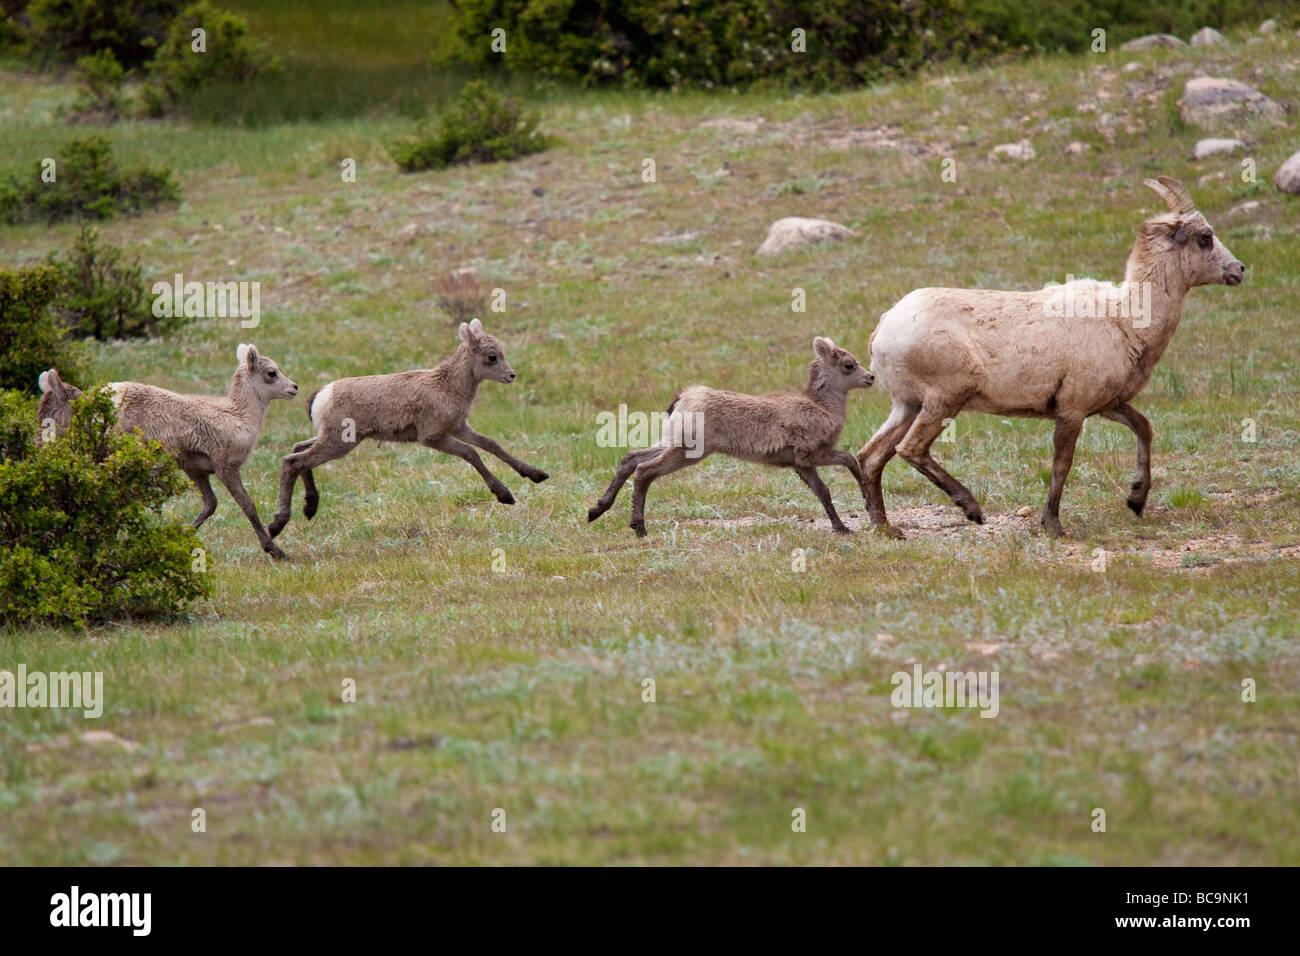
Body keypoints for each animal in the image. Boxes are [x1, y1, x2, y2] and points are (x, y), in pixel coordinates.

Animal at [36, 343, 301, 556]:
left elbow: (210, 504)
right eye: (271, 372)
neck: (239, 416)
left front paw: (184, 537)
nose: (295, 388)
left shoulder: (196, 471)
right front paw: (275, 550)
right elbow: (248, 506)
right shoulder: (226, 468)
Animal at [587, 335, 873, 535]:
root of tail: (681, 399)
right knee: (645, 470)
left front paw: (842, 527)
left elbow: (823, 492)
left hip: (672, 440)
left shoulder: (800, 465)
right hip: (689, 449)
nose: (870, 377)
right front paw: (863, 500)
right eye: (849, 364)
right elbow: (849, 459)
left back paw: (596, 510)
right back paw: (638, 527)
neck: (824, 409)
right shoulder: (811, 453)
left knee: (631, 457)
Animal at [857, 175, 1242, 538]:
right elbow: (1062, 463)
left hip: (907, 404)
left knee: (872, 455)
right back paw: (971, 508)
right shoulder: (1072, 408)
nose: (1239, 270)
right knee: (910, 449)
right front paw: (1053, 524)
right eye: (1205, 237)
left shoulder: (1107, 404)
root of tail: (882, 330)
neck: (1125, 318)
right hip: (945, 398)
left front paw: (1135, 500)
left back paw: (886, 528)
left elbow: (1144, 427)